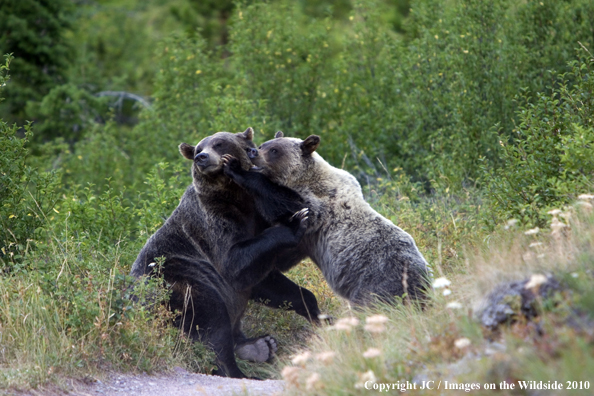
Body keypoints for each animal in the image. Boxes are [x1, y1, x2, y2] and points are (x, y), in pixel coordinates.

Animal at [127, 128, 316, 378]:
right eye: (198, 148)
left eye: (219, 143)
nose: (202, 157)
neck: (236, 197)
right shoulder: (213, 225)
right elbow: (234, 263)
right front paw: (296, 222)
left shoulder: (257, 217)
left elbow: (270, 281)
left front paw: (315, 312)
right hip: (179, 284)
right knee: (212, 324)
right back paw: (239, 368)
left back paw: (260, 346)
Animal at [224, 131, 428, 304]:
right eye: (263, 144)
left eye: (274, 150)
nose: (252, 151)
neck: (302, 179)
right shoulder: (306, 242)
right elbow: (281, 256)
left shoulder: (319, 203)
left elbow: (290, 205)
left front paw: (234, 167)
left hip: (376, 283)